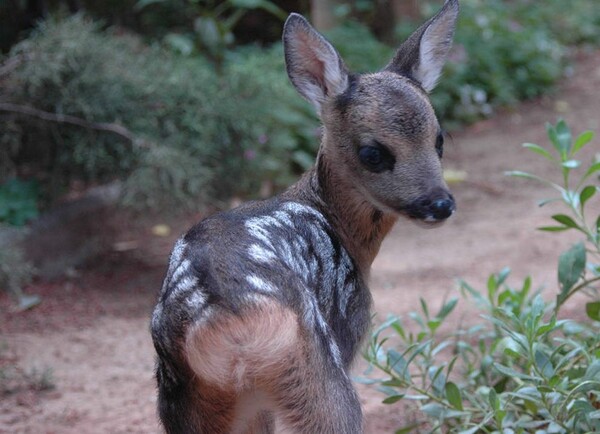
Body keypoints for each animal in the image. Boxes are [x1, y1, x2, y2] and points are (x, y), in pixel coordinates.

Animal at [151, 1, 460, 432]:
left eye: (439, 139)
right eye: (372, 153)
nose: (439, 204)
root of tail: (229, 320)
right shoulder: (348, 323)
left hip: (184, 400)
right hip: (319, 371)